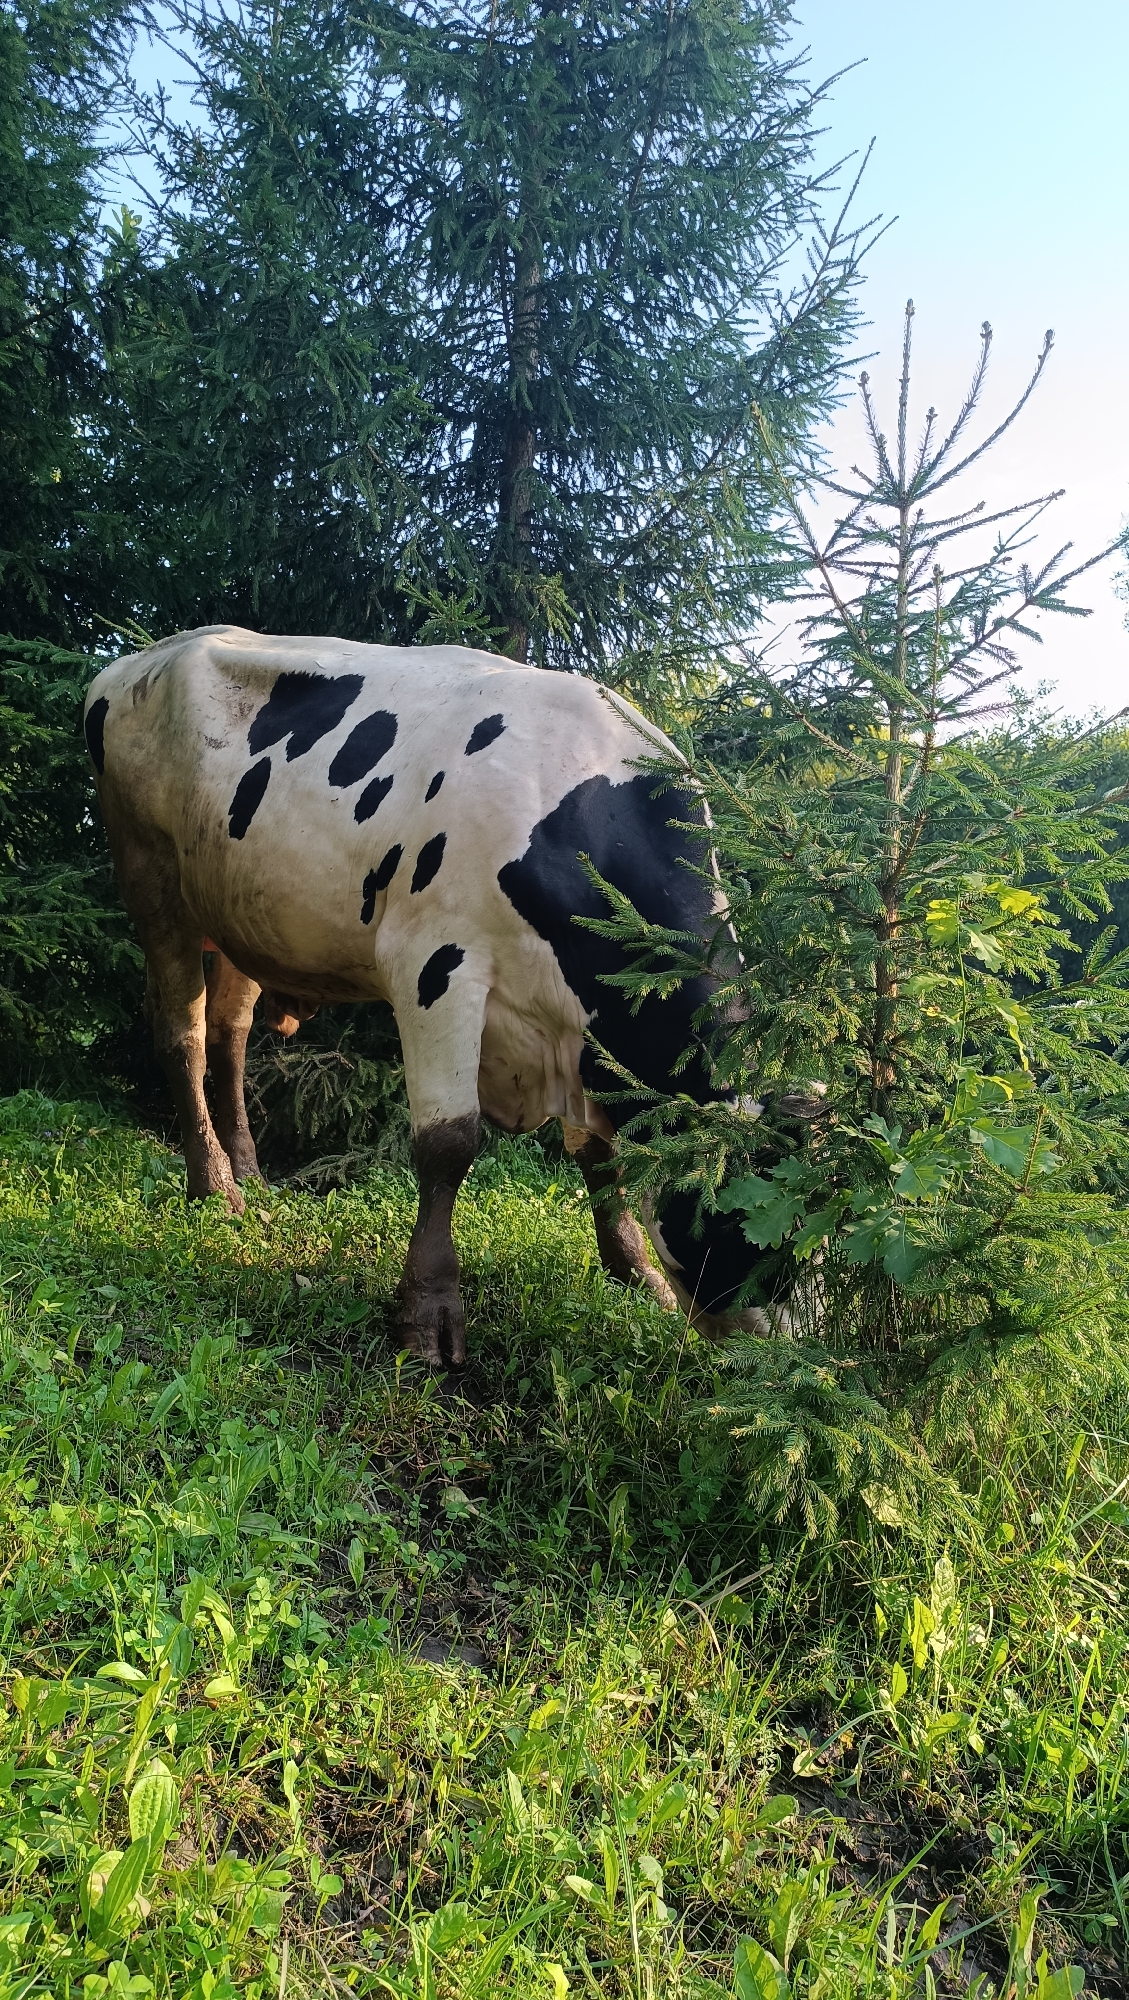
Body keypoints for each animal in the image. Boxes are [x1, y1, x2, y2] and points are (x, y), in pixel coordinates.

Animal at [84, 625, 782, 1364]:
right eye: (742, 1217)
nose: (771, 1353)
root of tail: (146, 655)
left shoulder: (574, 1035)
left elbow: (597, 1152)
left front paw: (632, 1270)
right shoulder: (435, 966)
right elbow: (448, 1145)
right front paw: (428, 1315)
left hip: (240, 911)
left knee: (230, 1034)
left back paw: (246, 1169)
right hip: (153, 881)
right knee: (181, 1035)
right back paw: (215, 1190)